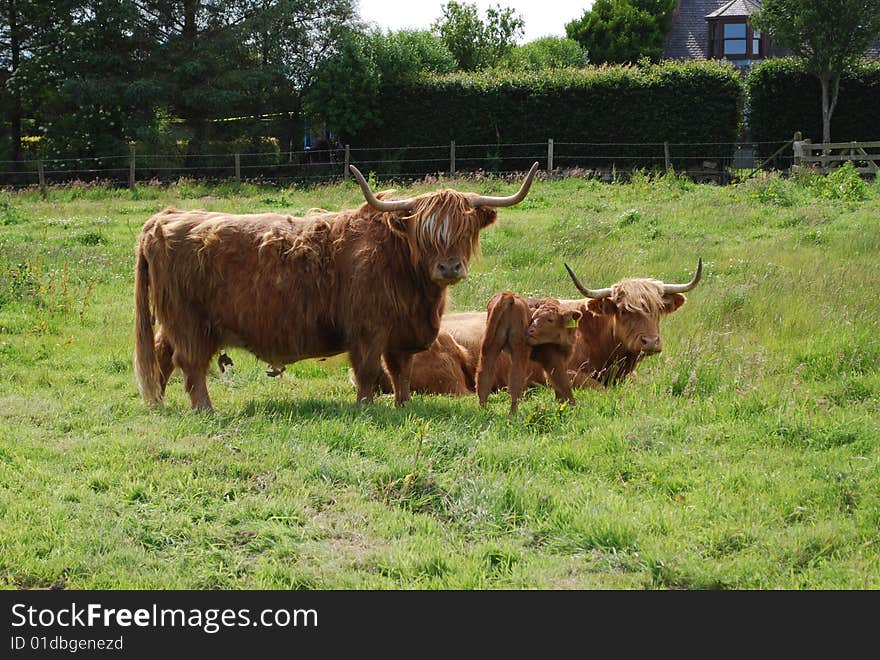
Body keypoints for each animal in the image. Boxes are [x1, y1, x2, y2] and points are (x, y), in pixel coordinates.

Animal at [134, 160, 540, 410]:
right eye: (424, 234)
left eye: (466, 229)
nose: (449, 266)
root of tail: (163, 219)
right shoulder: (368, 330)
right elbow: (369, 371)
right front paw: (366, 406)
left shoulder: (402, 332)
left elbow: (401, 370)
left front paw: (403, 404)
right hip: (190, 322)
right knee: (190, 364)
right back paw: (205, 409)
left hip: (175, 323)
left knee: (162, 355)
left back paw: (159, 403)